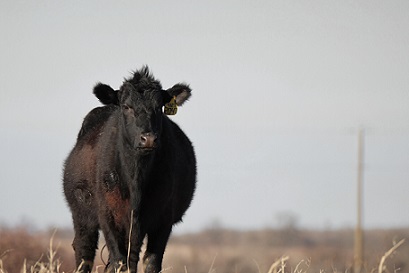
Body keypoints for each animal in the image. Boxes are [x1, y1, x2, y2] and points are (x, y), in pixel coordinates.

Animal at [63, 66, 196, 272]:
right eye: (126, 107)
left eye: (159, 107)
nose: (148, 138)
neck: (136, 179)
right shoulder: (108, 216)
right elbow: (120, 260)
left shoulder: (163, 220)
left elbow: (150, 261)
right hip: (82, 215)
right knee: (84, 251)